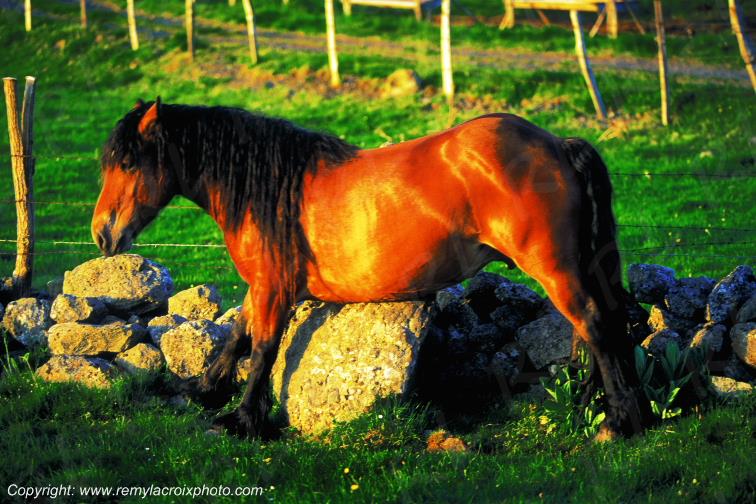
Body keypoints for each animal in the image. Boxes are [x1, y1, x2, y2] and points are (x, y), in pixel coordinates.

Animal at [92, 98, 649, 440]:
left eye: (129, 163)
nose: (103, 234)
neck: (269, 187)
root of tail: (557, 145)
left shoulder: (274, 289)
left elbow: (263, 348)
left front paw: (245, 419)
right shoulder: (263, 287)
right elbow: (238, 337)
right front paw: (205, 392)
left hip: (556, 270)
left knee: (597, 326)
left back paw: (620, 421)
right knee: (599, 330)